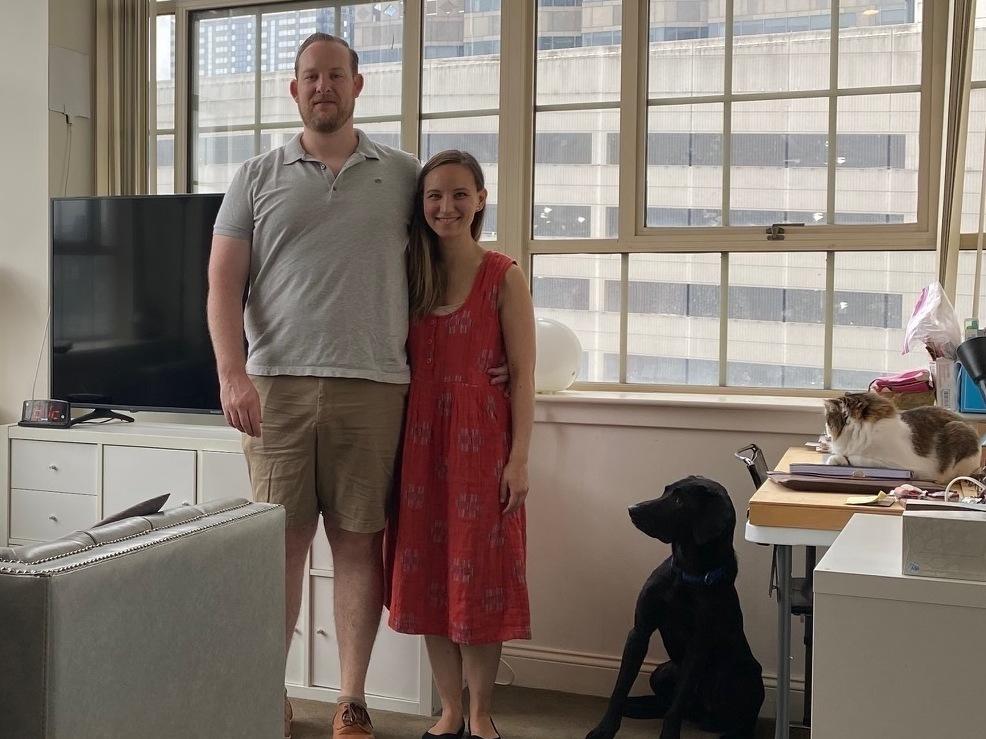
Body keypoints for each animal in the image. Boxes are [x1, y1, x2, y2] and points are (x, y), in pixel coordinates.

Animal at [584, 476, 760, 736]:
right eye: (665, 491)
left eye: (679, 501)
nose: (632, 509)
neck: (686, 574)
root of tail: (703, 716)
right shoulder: (639, 632)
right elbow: (620, 688)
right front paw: (604, 729)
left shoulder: (697, 647)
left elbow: (676, 706)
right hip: (662, 671)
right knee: (665, 703)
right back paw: (634, 707)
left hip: (746, 676)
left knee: (739, 720)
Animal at [824, 394, 976, 486]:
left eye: (828, 421)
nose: (825, 430)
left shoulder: (902, 465)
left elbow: (859, 460)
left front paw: (837, 459)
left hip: (957, 432)